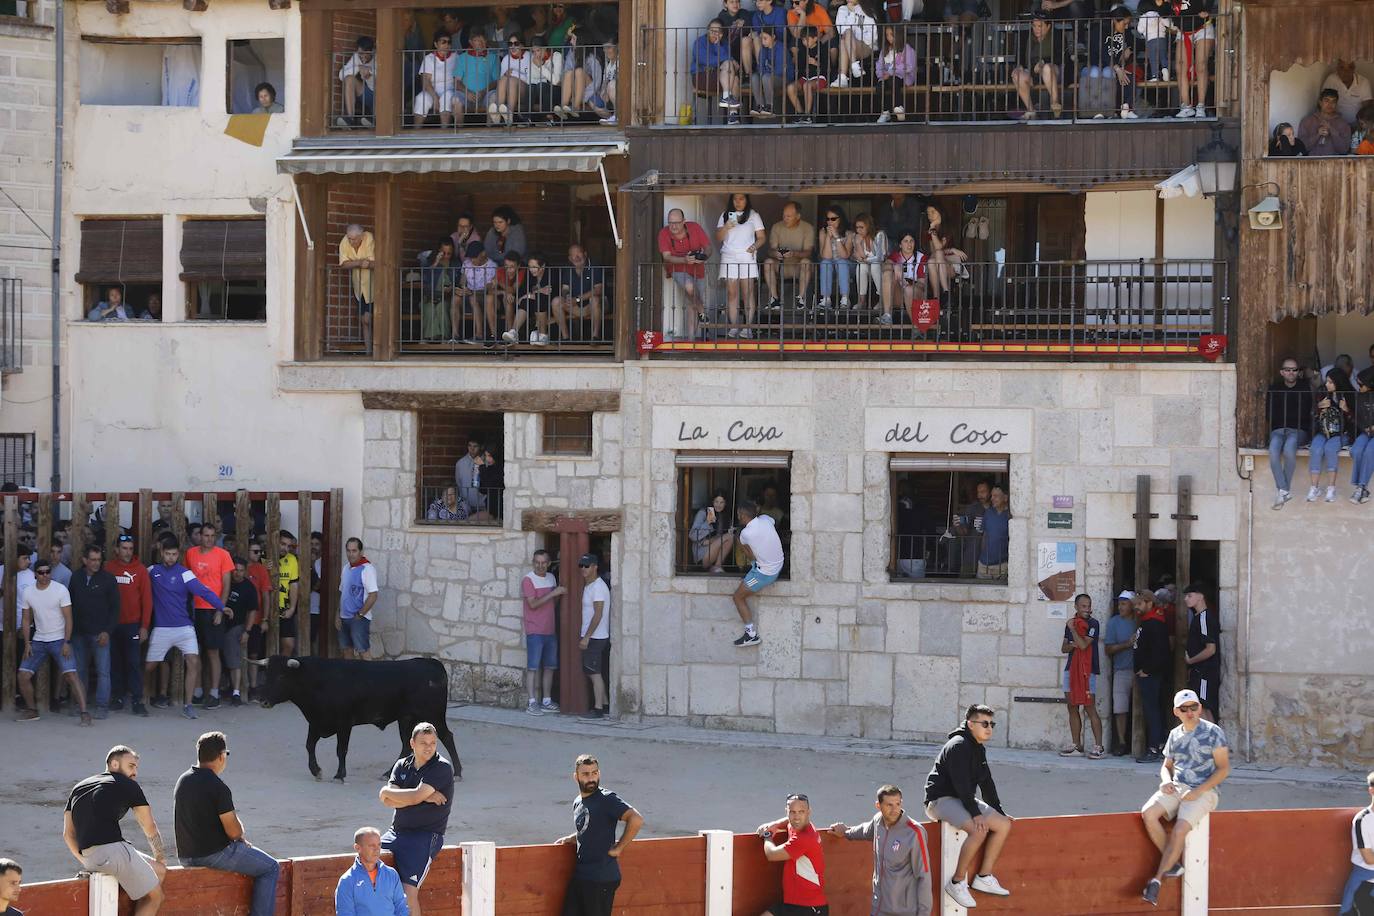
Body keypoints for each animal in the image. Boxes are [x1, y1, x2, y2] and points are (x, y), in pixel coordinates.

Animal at [256, 659, 467, 780]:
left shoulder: (344, 723)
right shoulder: (316, 721)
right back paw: (388, 773)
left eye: (282, 676)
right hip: (407, 719)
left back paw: (457, 772)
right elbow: (309, 745)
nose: (263, 701)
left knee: (447, 736)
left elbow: (341, 749)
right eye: (267, 675)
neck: (317, 680)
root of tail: (433, 663)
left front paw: (339, 775)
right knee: (407, 746)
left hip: (433, 714)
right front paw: (316, 770)